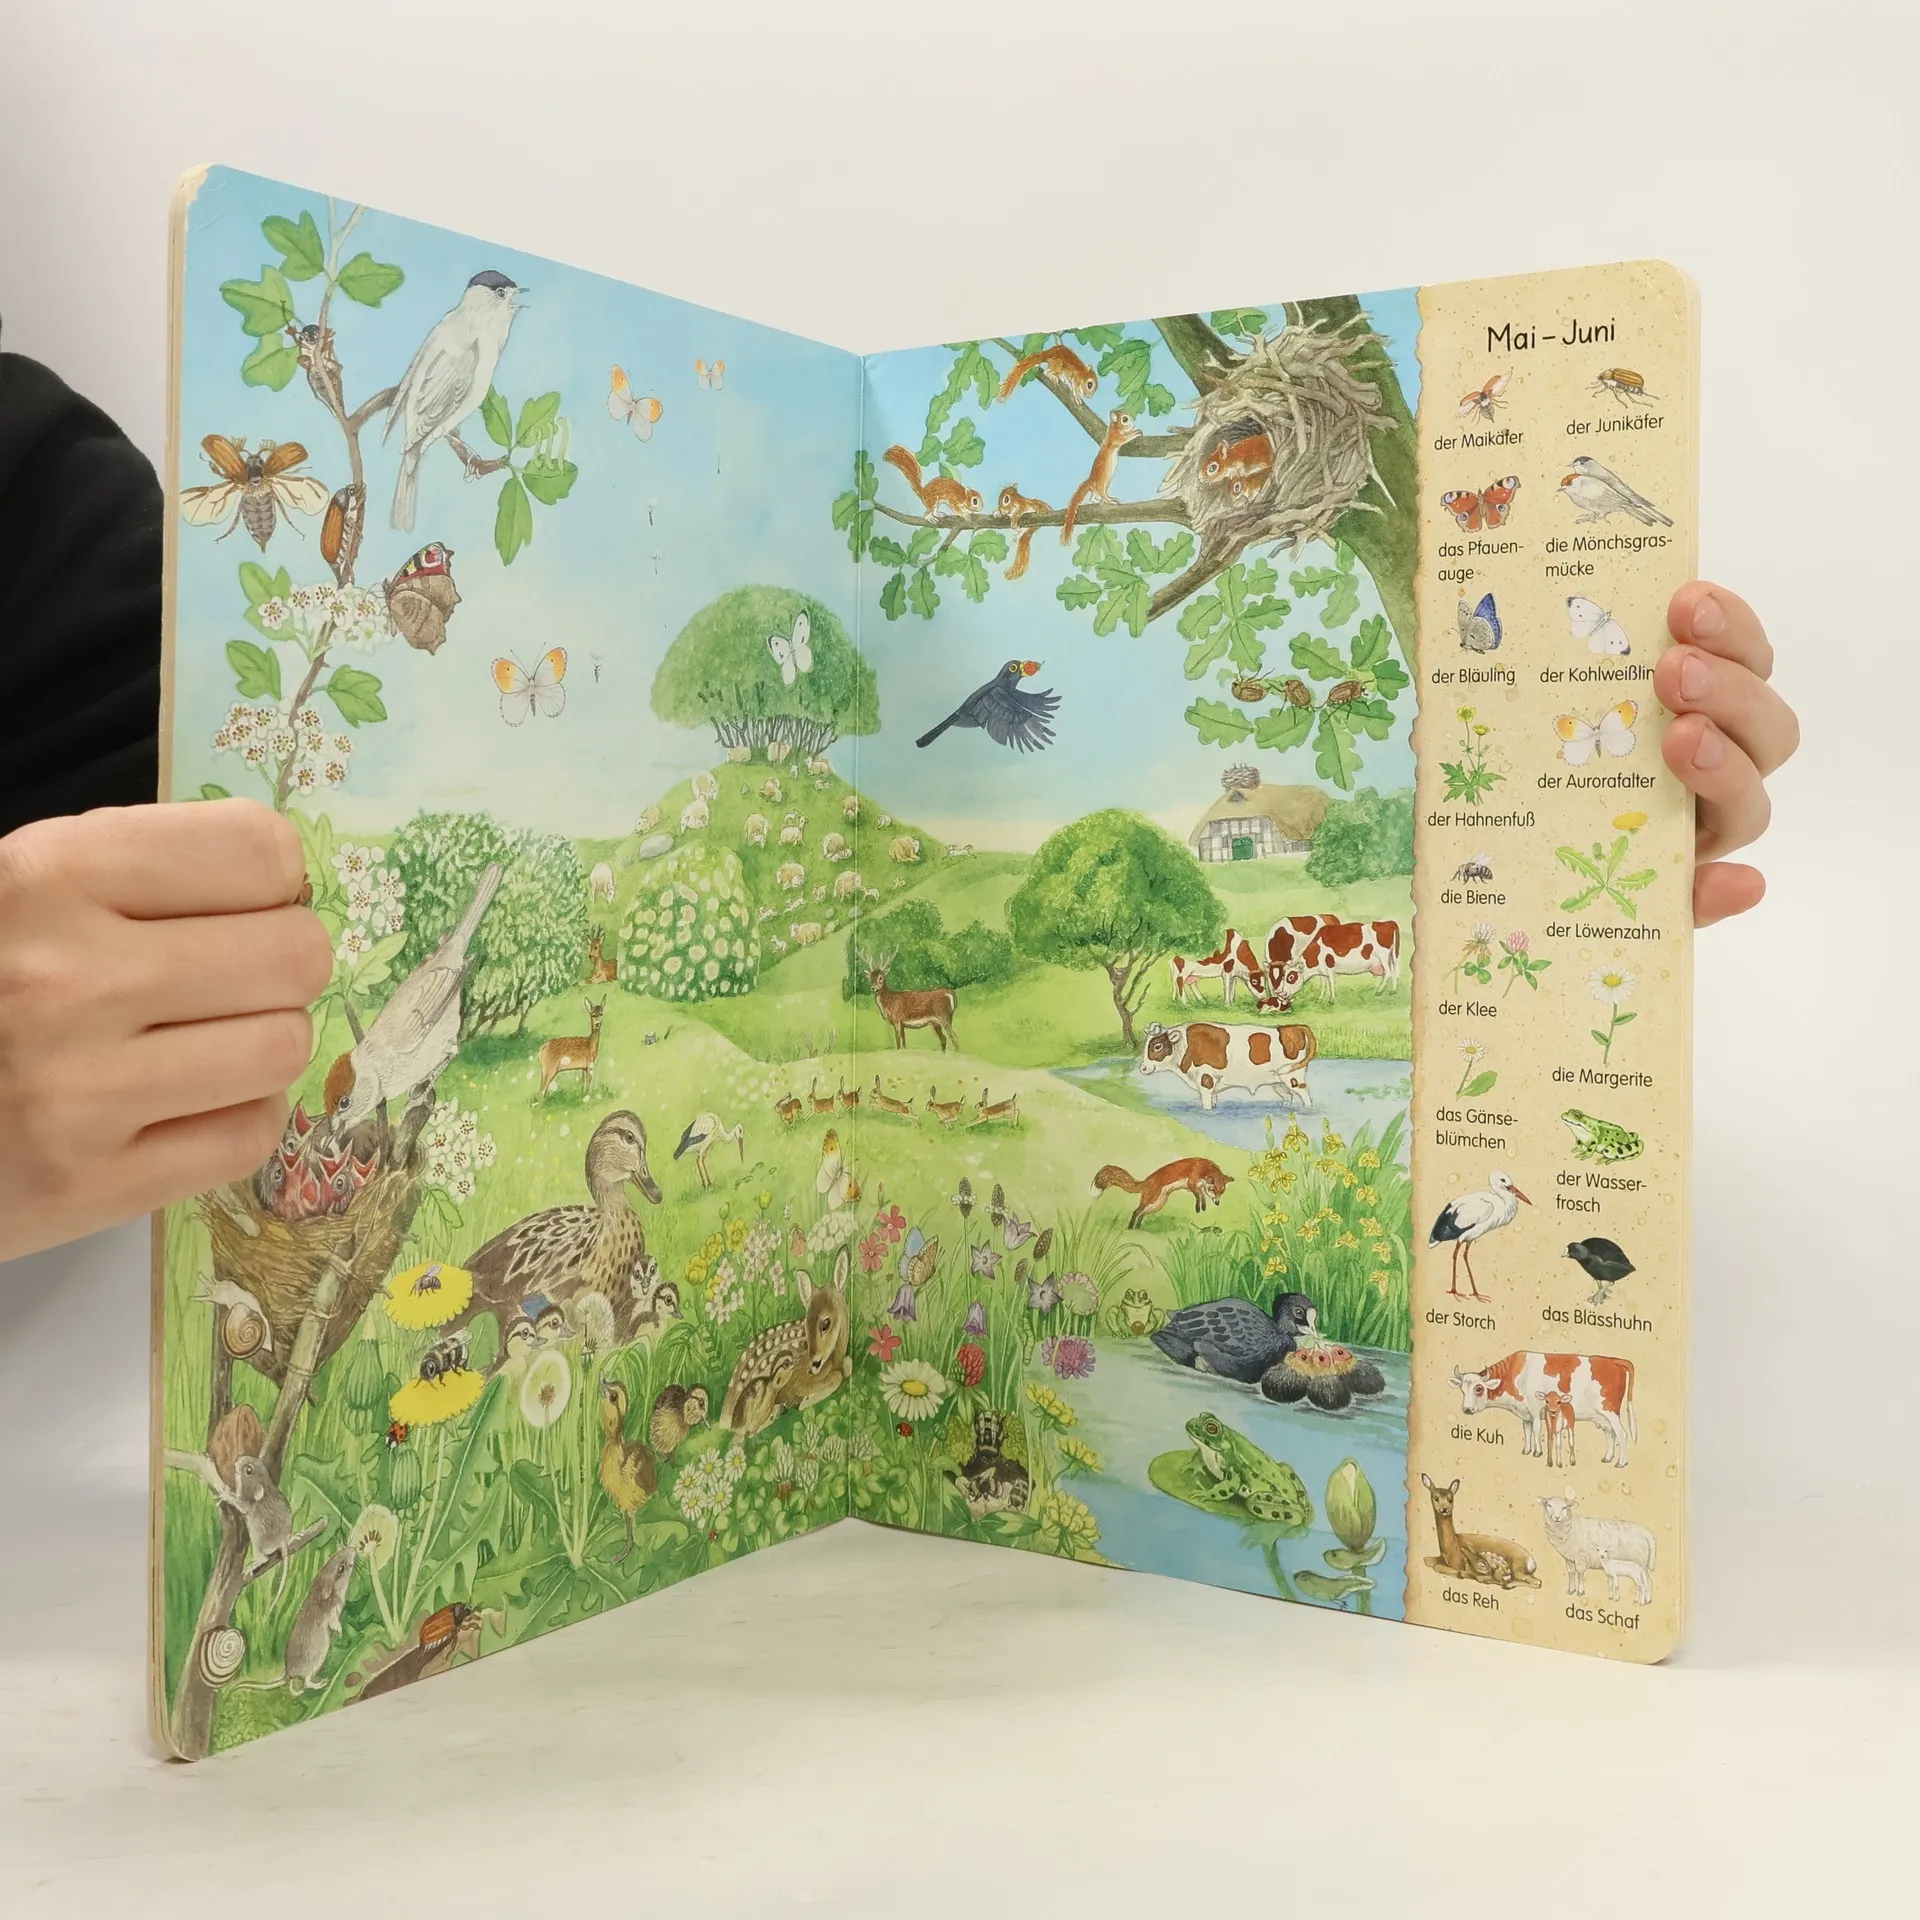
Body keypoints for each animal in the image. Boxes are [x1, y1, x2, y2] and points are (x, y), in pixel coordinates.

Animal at [1092, 1157, 1233, 1230]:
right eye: (1213, 1190)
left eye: (1222, 1191)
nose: (1217, 1203)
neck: (1204, 1169)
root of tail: (1146, 1180)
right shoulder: (1191, 1183)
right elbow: (1198, 1195)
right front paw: (1199, 1208)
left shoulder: (1198, 1187)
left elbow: (1201, 1196)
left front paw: (1202, 1207)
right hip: (1151, 1200)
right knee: (1136, 1212)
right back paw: (1130, 1228)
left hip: (1156, 1205)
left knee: (1141, 1214)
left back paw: (1137, 1229)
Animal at [1137, 1020, 1316, 1111]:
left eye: (1157, 1046)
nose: (1143, 1068)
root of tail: (1294, 1027)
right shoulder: (1211, 1081)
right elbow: (1213, 1099)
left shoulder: (1205, 1078)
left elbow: (1206, 1102)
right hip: (1277, 1081)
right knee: (1288, 1096)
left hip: (1293, 1076)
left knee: (1305, 1093)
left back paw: (1307, 1109)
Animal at [1449, 1351, 1637, 1467]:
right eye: (1462, 1390)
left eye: (1479, 1389)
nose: (1466, 1409)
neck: (1515, 1375)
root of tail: (1613, 1360)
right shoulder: (1525, 1415)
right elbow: (1527, 1431)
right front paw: (1527, 1450)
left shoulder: (1534, 1410)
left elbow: (1537, 1430)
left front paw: (1537, 1452)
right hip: (1602, 1417)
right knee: (1610, 1434)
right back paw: (1608, 1457)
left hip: (1610, 1412)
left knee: (1622, 1434)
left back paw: (1621, 1462)